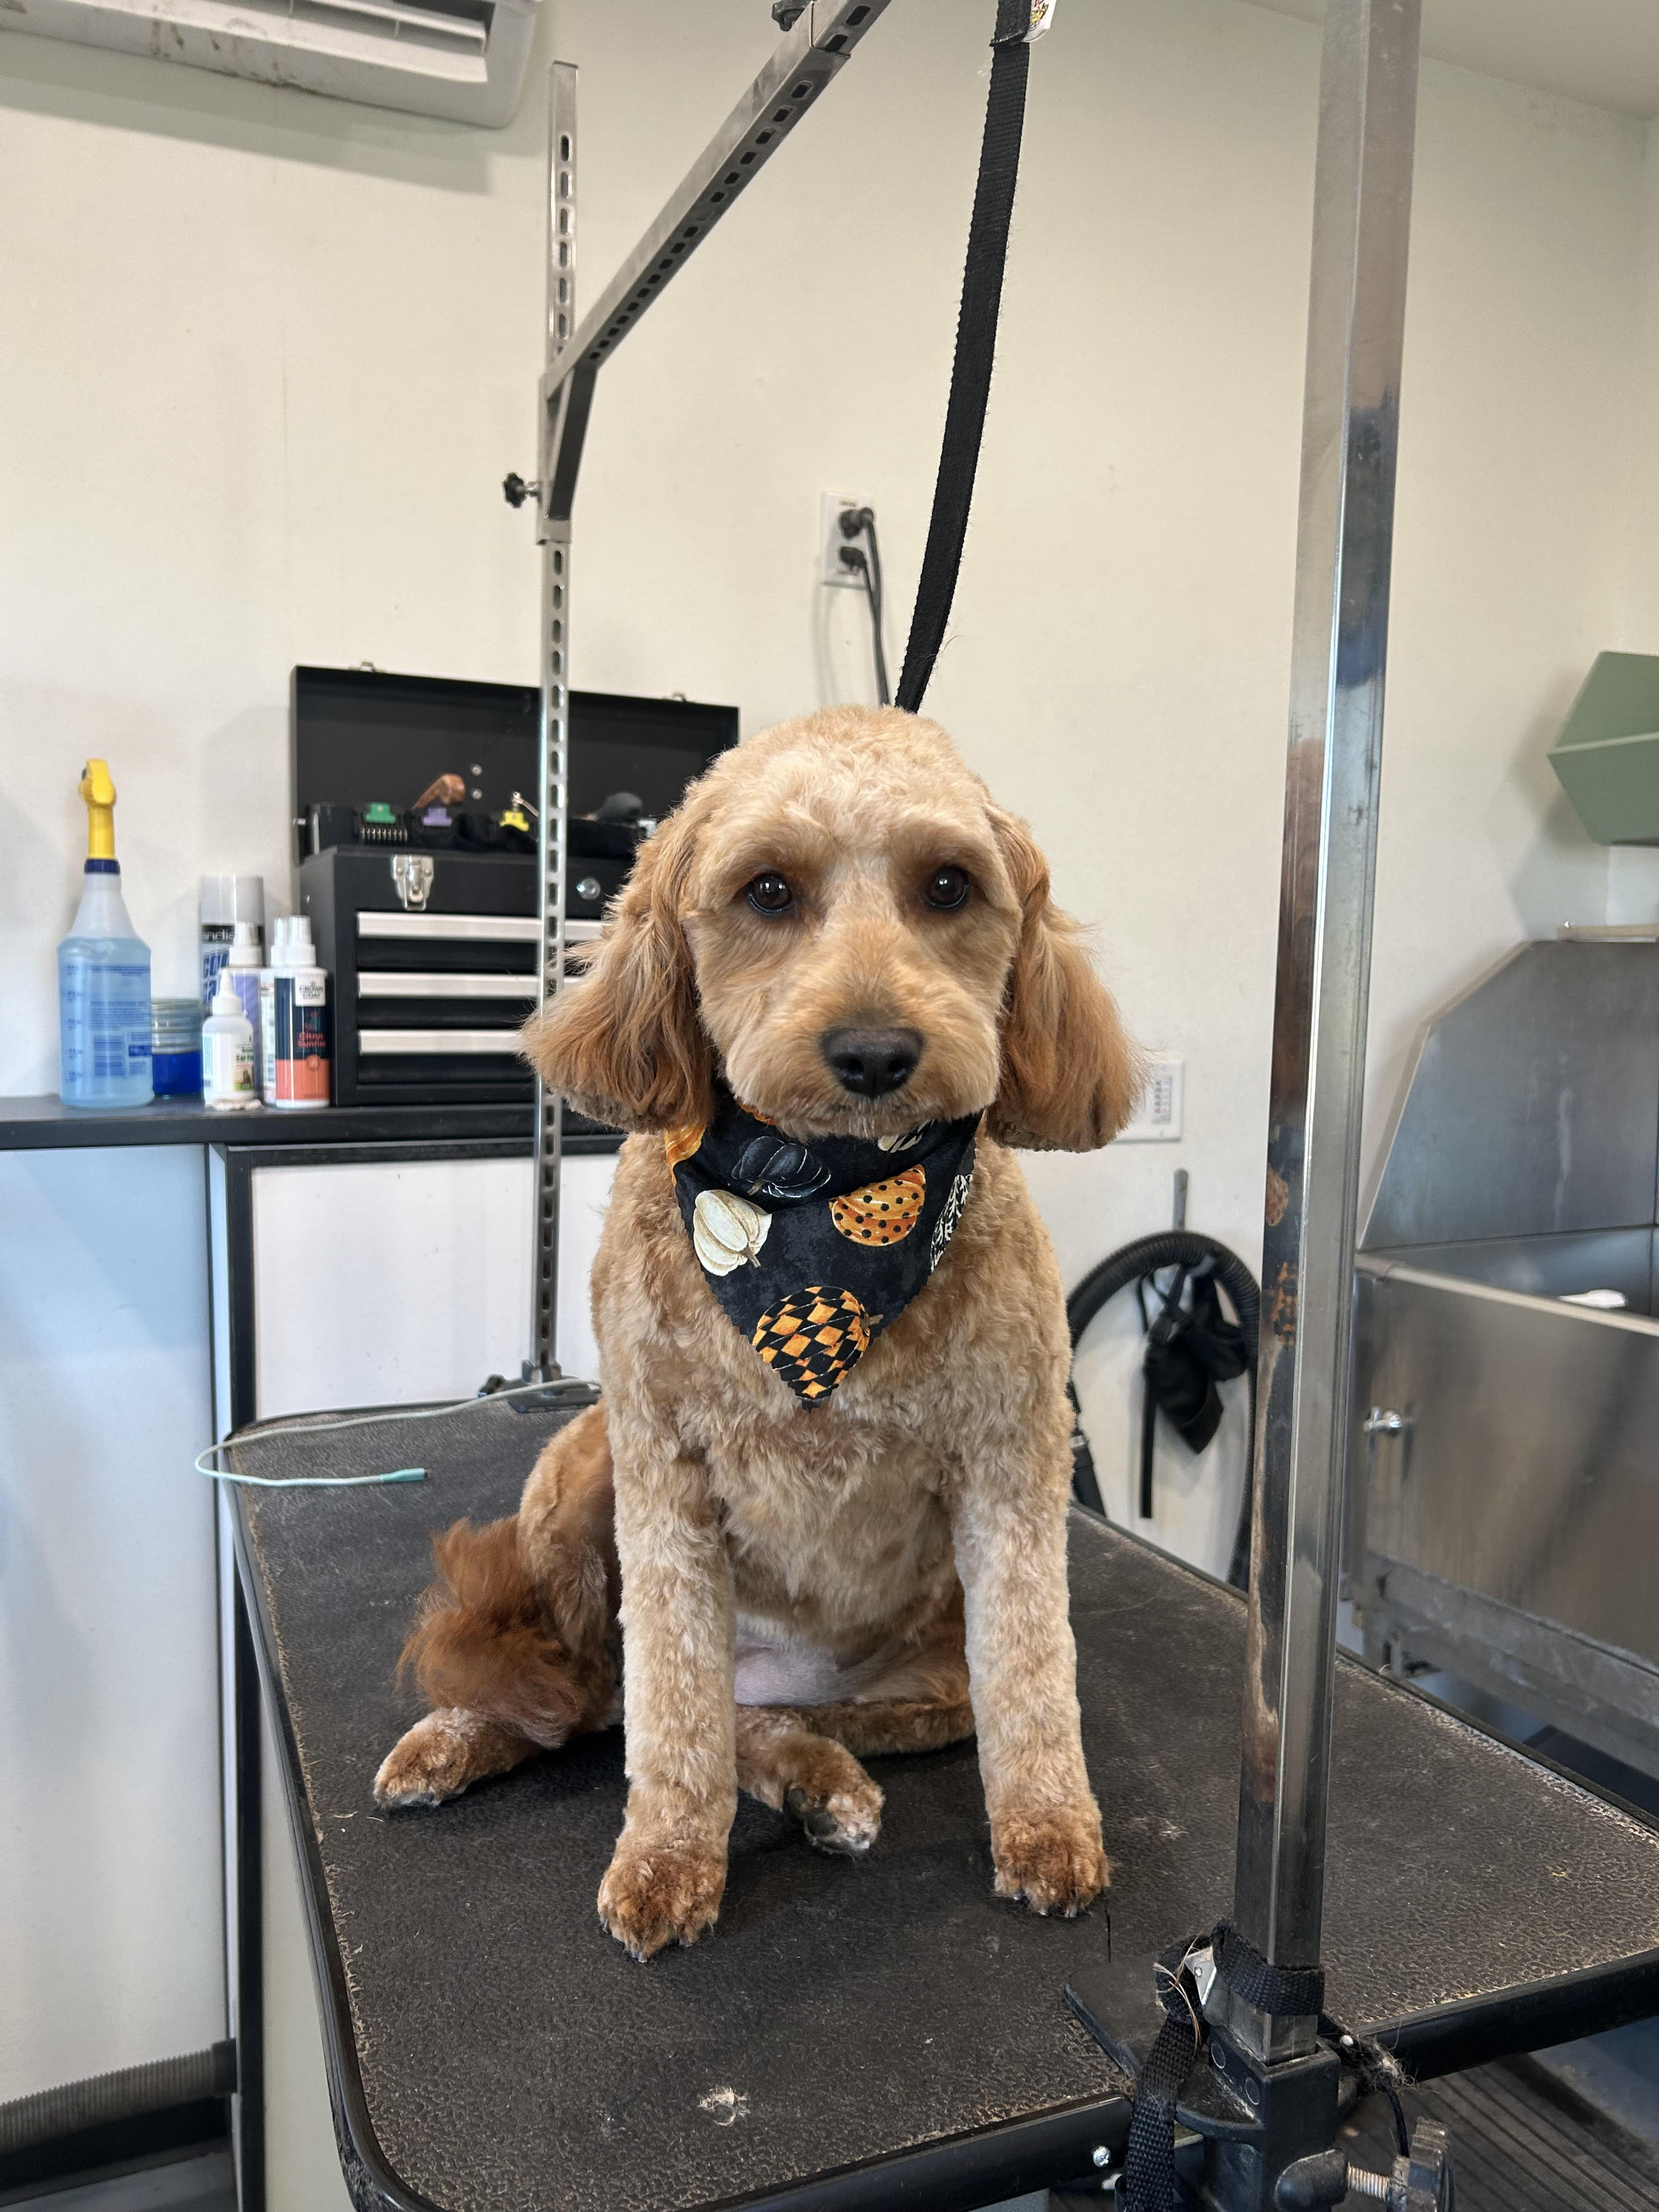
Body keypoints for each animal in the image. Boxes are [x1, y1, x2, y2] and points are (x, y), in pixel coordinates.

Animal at [374, 703, 1141, 1955]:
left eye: (947, 885)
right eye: (769, 891)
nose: (875, 1051)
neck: (821, 1195)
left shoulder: (1013, 1461)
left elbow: (1035, 1671)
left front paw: (1048, 1827)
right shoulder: (662, 1470)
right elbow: (668, 1704)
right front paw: (668, 1856)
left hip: (925, 1676)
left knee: (739, 1718)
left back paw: (821, 1779)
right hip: (579, 1478)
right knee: (592, 1692)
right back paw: (455, 1740)